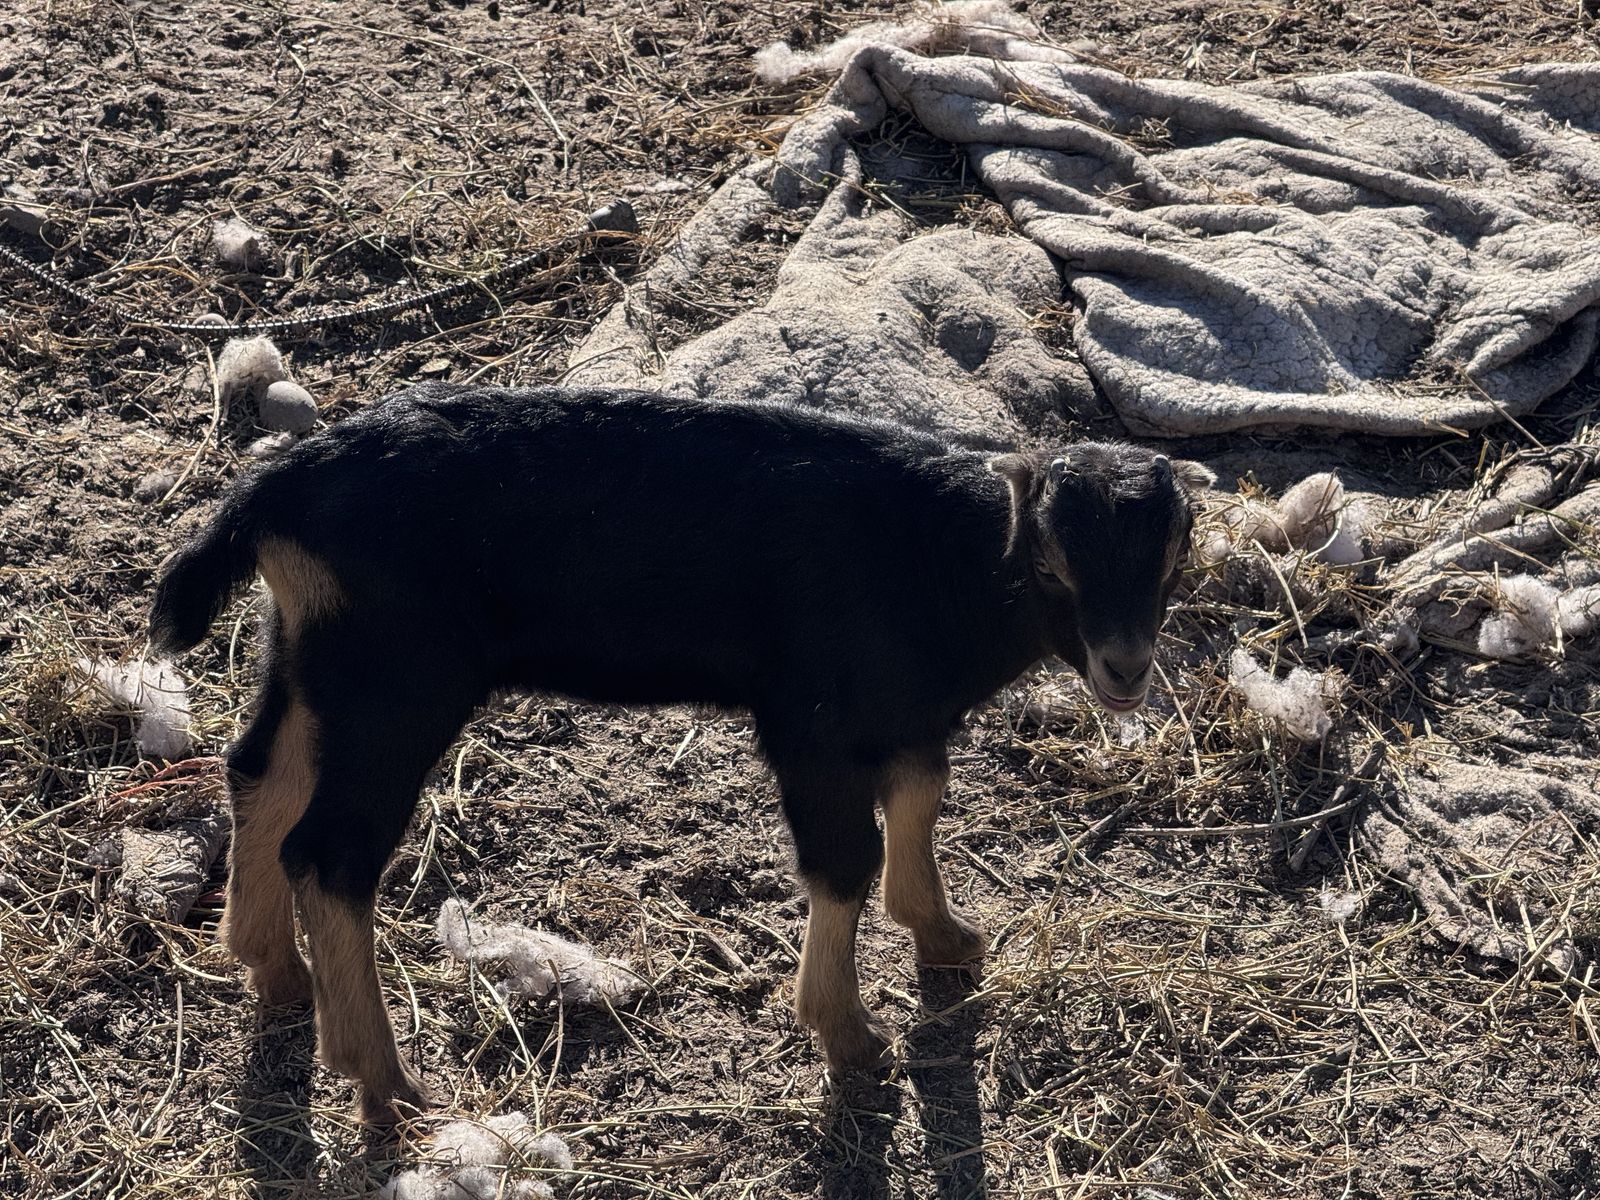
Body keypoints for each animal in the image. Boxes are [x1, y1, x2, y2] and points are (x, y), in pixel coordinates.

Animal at [149, 382, 1213, 1121]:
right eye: (1053, 565)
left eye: (1173, 557)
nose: (1125, 668)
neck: (937, 562)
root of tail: (275, 495)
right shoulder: (810, 721)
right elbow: (844, 860)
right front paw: (847, 1034)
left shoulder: (902, 713)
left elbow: (921, 798)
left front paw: (945, 936)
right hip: (395, 682)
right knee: (330, 853)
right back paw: (384, 1081)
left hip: (314, 657)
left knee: (261, 773)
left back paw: (272, 967)